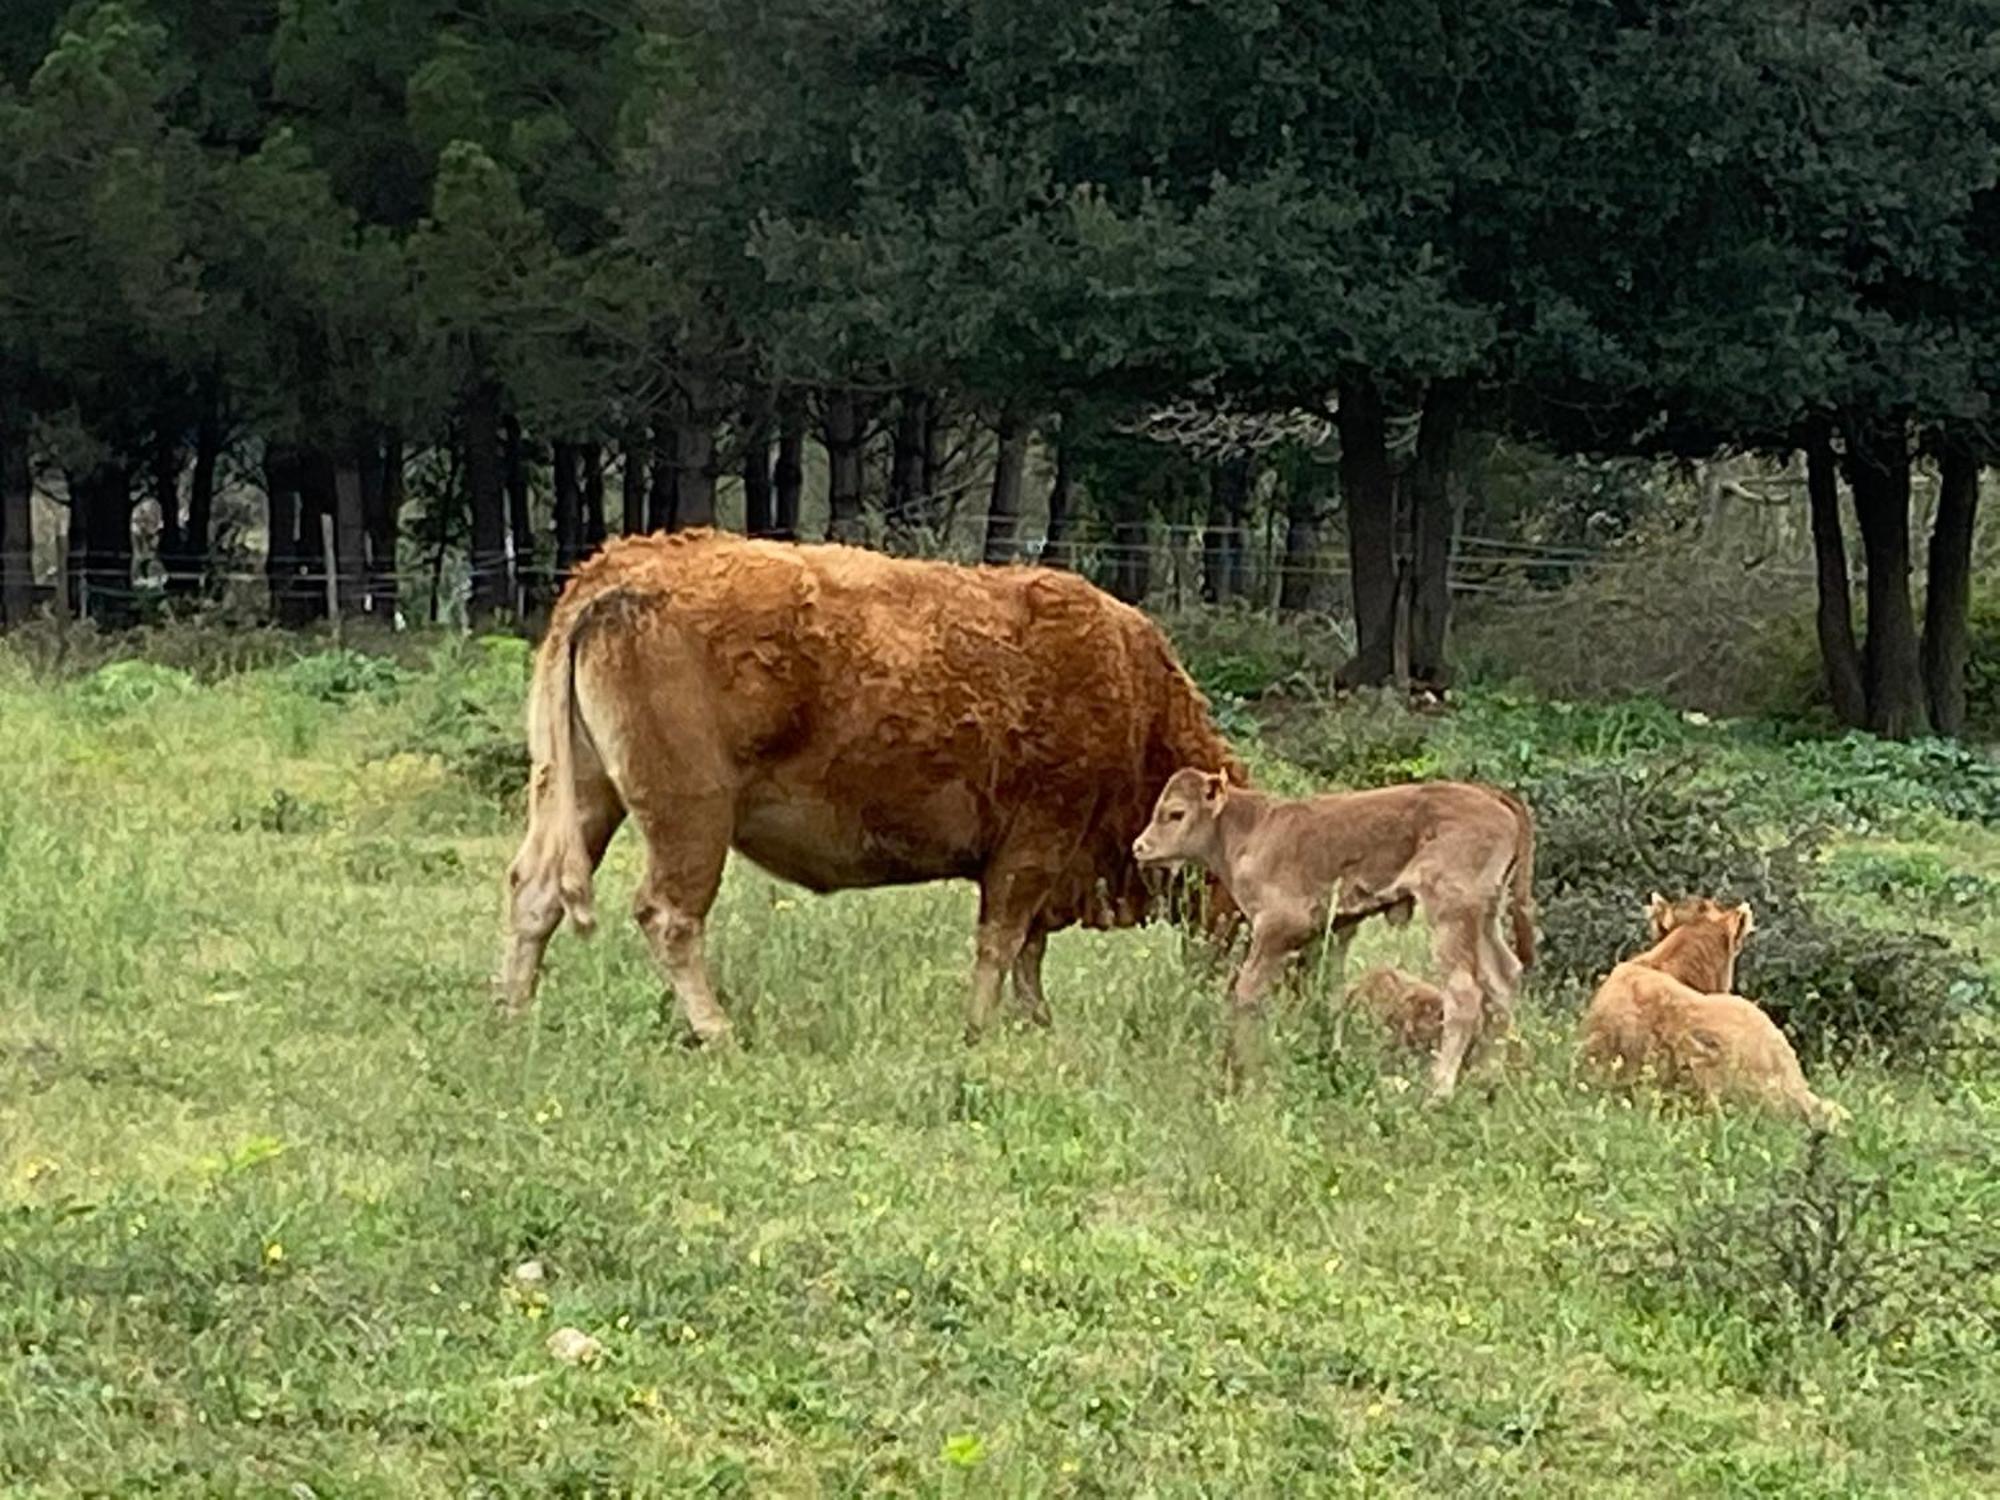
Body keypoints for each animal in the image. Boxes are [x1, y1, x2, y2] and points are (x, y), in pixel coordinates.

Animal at [498, 532, 1240, 1048]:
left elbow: (1025, 950)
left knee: (536, 892)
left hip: (583, 792)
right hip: (691, 815)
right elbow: (1002, 942)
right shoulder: (1037, 841)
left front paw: (1036, 1022)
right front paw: (981, 1029)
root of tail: (616, 572)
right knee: (668, 913)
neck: (1134, 698)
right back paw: (719, 1031)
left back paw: (510, 1014)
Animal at [1136, 768, 1536, 1096]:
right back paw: (1486, 1081)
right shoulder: (1329, 934)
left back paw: (1438, 1092)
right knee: (1504, 979)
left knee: (1465, 993)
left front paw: (1238, 1069)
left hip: (1451, 915)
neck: (1251, 830)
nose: (1140, 846)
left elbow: (1246, 993)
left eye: (1175, 813)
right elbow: (1327, 996)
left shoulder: (1277, 929)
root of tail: (1492, 796)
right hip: (1485, 917)